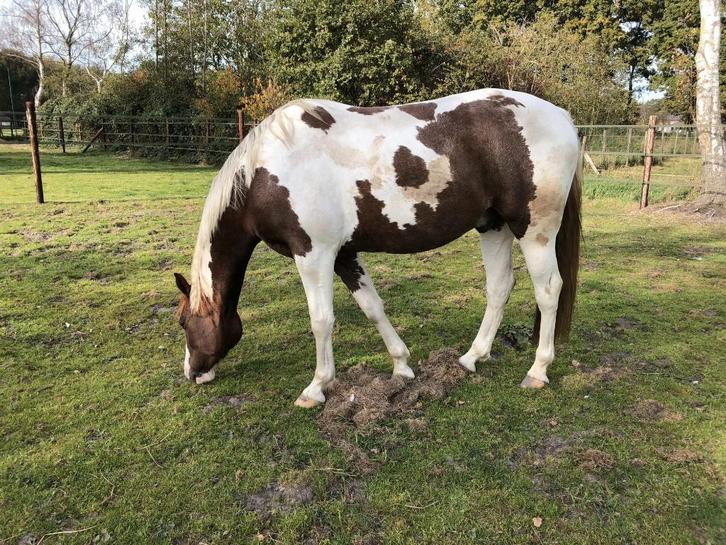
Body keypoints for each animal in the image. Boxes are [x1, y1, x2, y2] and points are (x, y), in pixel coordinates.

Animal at [174, 88, 581, 407]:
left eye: (182, 322)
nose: (192, 373)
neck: (266, 170)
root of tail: (561, 116)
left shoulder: (313, 253)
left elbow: (321, 320)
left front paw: (316, 387)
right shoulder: (343, 253)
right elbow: (372, 307)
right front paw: (401, 366)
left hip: (534, 230)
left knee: (548, 291)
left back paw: (538, 370)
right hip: (492, 226)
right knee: (499, 288)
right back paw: (471, 358)